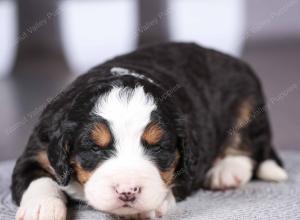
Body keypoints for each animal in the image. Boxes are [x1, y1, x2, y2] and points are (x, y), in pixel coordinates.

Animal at [12, 43, 288, 220]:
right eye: (94, 148)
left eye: (157, 147)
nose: (127, 191)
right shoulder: (39, 149)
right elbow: (38, 180)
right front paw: (42, 208)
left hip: (249, 100)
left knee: (249, 144)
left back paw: (227, 171)